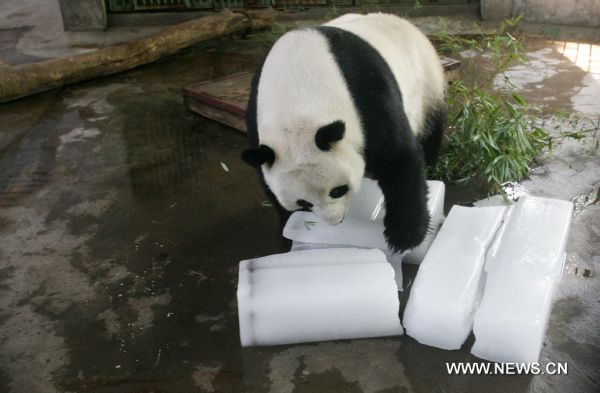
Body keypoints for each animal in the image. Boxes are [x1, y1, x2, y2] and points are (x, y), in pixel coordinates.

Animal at [243, 13, 446, 253]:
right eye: (304, 202)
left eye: (337, 190)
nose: (335, 221)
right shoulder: (255, 119)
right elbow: (267, 183)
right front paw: (287, 231)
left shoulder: (366, 93)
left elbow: (397, 156)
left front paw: (404, 236)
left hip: (426, 80)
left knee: (431, 125)